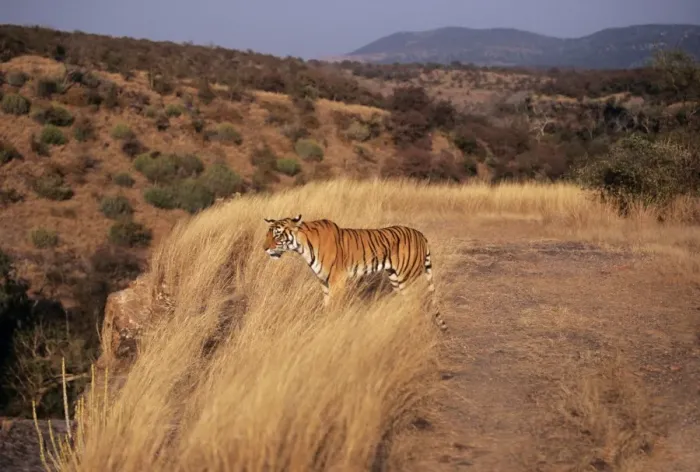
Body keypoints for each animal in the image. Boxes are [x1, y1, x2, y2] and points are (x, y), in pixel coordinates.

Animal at [262, 214, 448, 332]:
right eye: (267, 235)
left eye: (277, 235)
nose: (264, 248)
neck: (302, 246)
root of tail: (422, 235)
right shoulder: (324, 282)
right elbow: (326, 305)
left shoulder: (337, 280)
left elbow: (335, 307)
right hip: (396, 278)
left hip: (406, 279)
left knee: (417, 305)